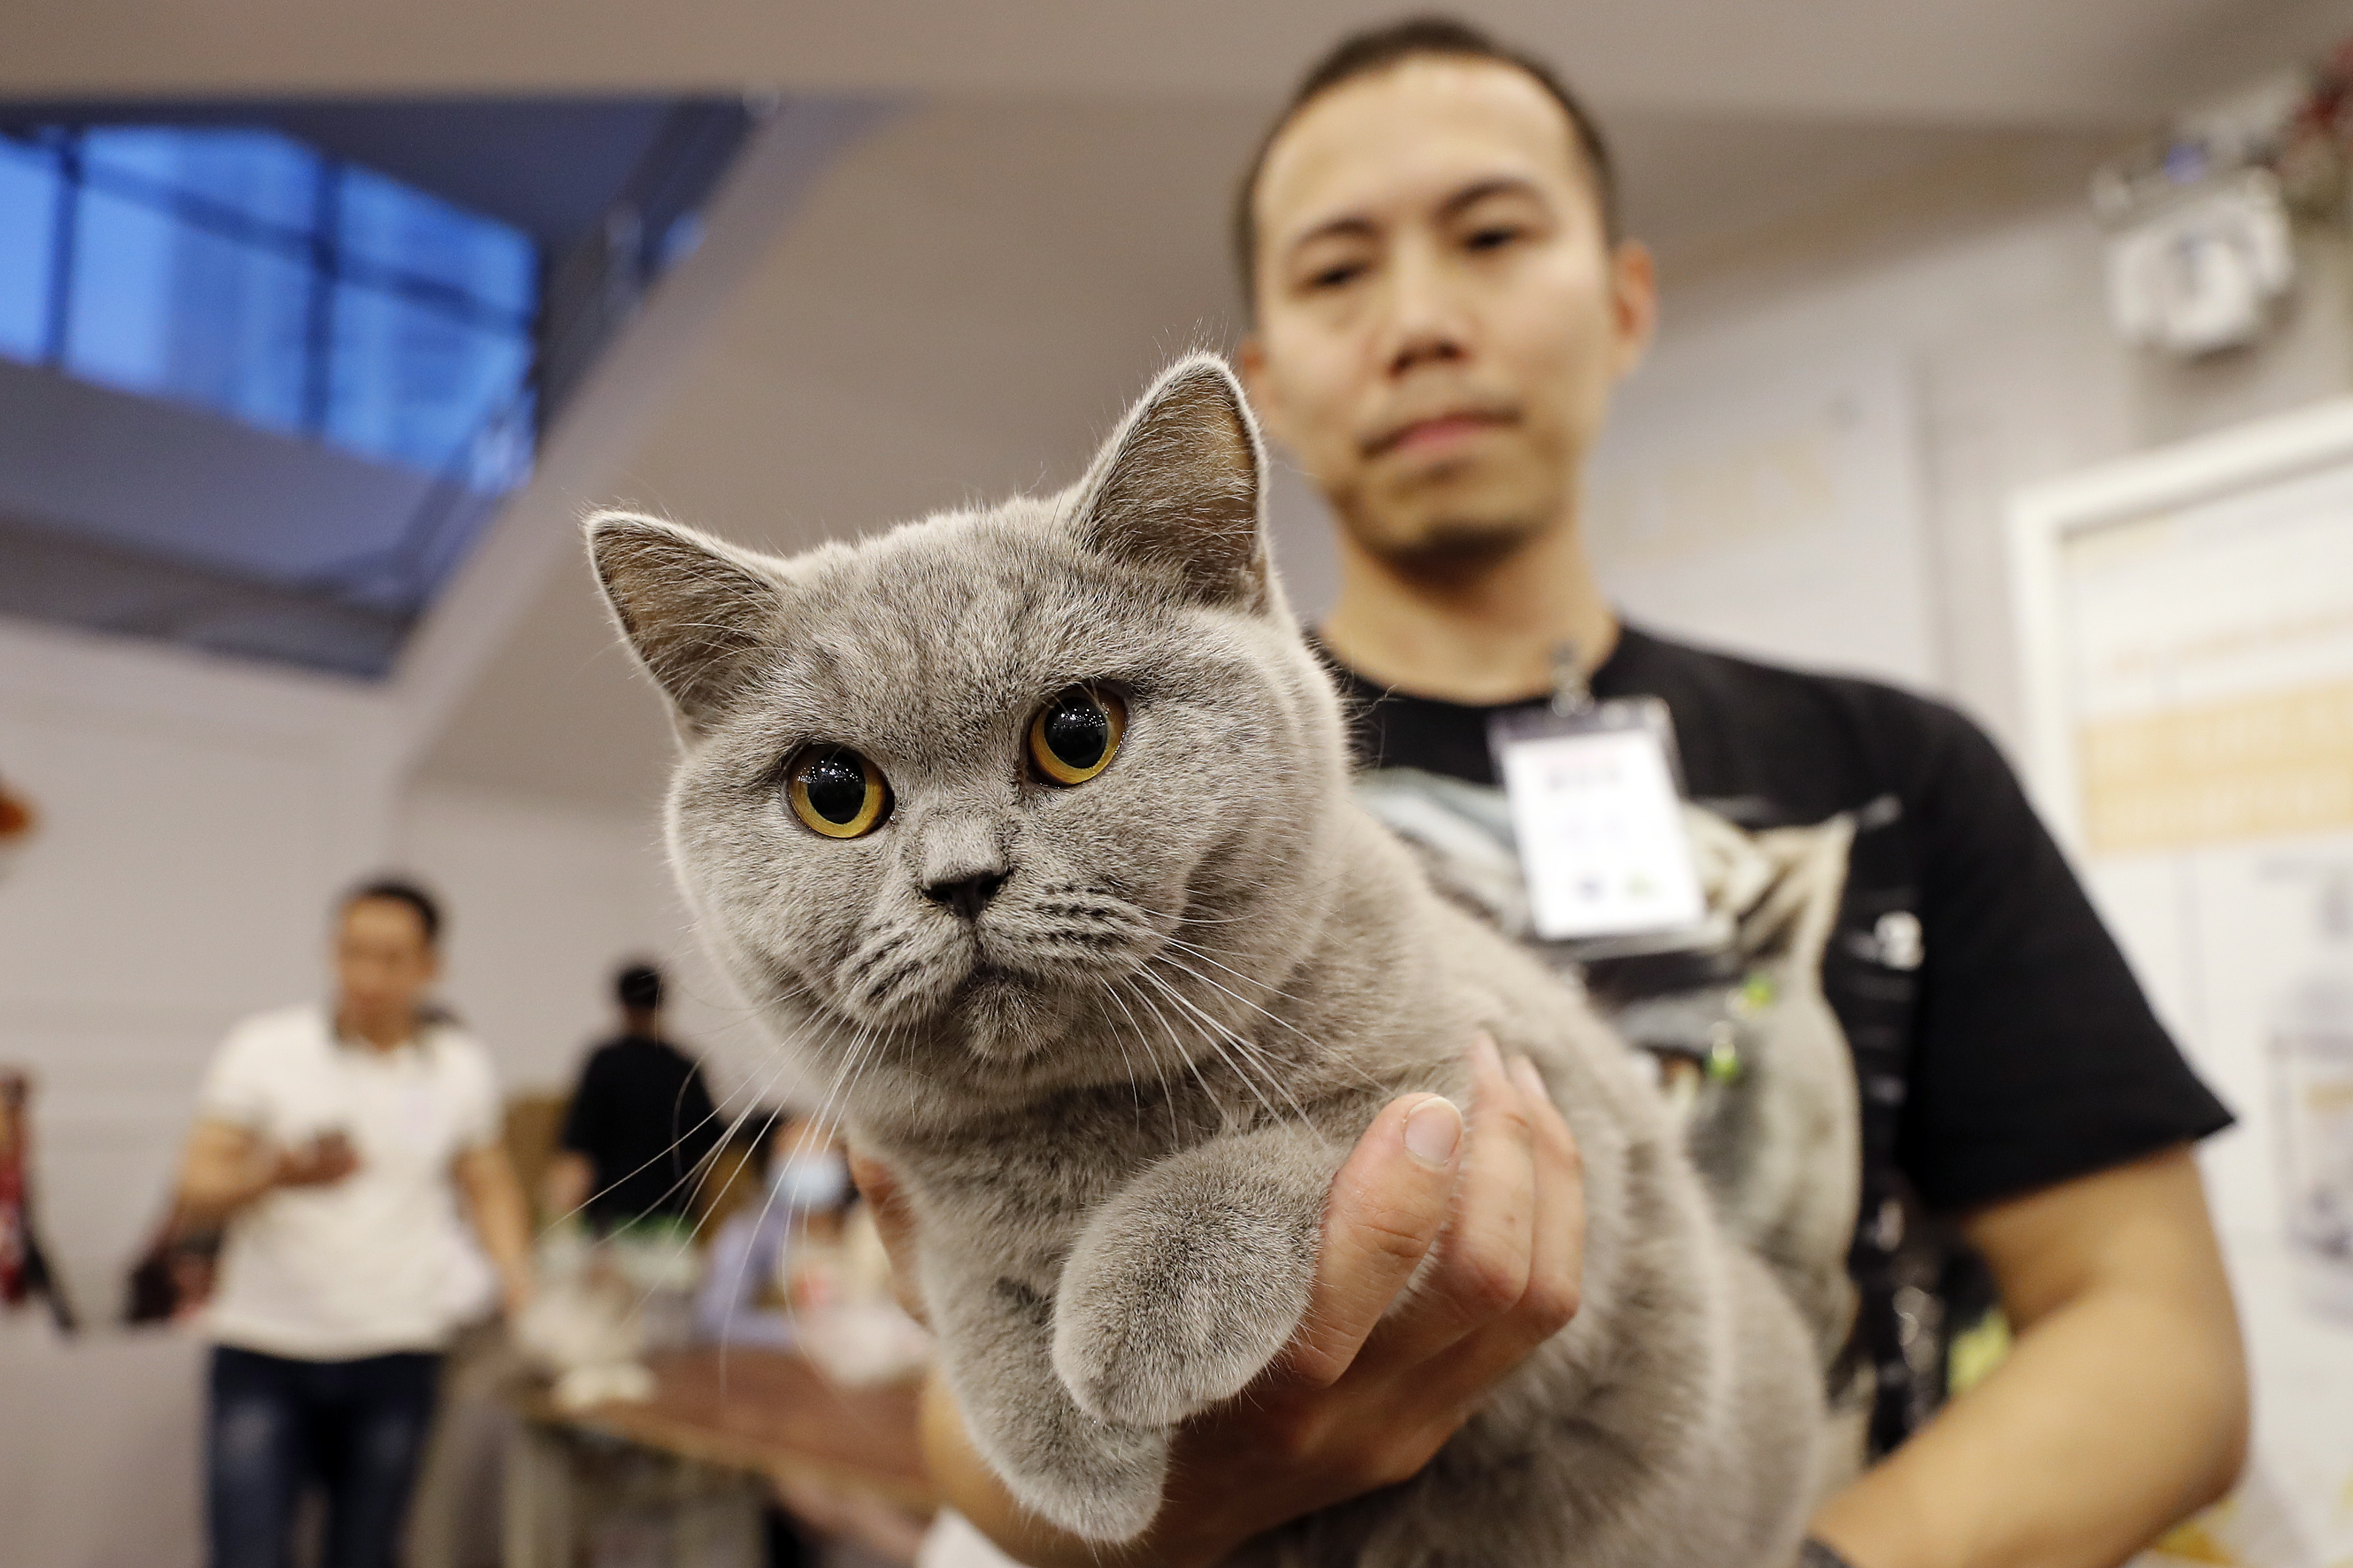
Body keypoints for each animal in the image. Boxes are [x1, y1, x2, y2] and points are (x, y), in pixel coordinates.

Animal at [597, 355, 1825, 1568]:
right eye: (834, 792)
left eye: (1075, 734)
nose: (960, 877)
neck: (1086, 1132)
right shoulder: (927, 1192)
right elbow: (965, 1279)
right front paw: (1060, 1435)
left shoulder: (1501, 1092)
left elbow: (1296, 1140)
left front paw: (1132, 1326)